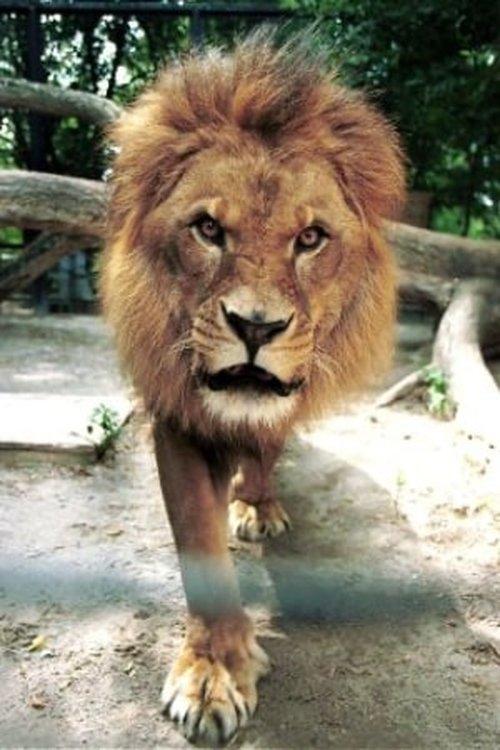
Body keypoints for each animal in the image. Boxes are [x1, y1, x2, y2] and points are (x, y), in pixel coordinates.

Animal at [101, 30, 405, 745]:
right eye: (209, 229)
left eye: (311, 237)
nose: (257, 327)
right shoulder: (177, 415)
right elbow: (199, 543)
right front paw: (212, 676)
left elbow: (265, 446)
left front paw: (255, 504)